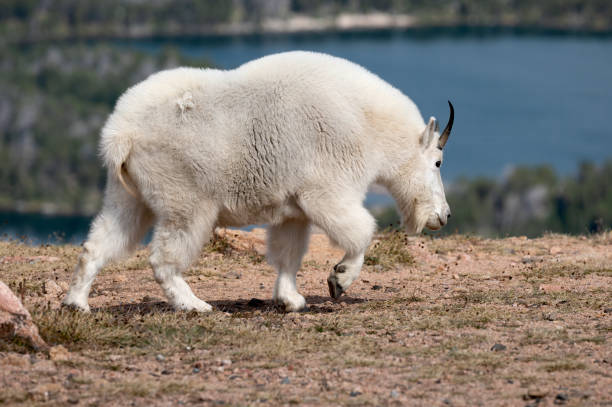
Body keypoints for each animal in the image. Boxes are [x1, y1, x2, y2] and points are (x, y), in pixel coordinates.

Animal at [63, 51, 454, 312]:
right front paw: (339, 280)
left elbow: (288, 252)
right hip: (184, 191)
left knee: (106, 237)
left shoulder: (294, 207)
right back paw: (194, 304)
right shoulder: (326, 185)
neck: (368, 123)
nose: (444, 215)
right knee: (167, 250)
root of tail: (120, 134)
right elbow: (360, 230)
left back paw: (76, 302)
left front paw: (291, 300)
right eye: (437, 161)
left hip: (128, 191)